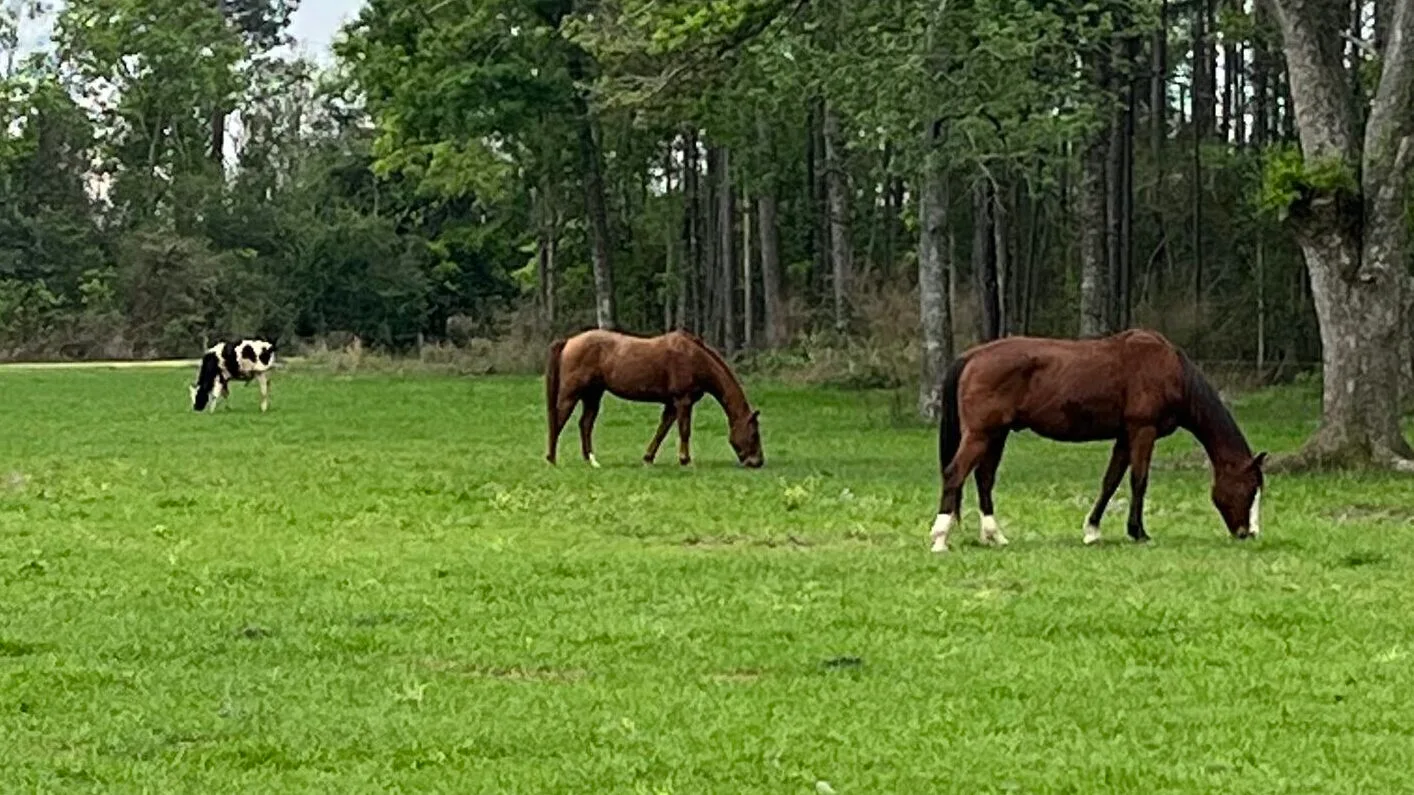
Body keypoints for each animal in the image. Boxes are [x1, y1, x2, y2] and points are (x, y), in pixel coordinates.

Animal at [545, 329, 763, 468]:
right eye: (754, 434)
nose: (758, 462)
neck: (694, 358)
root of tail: (569, 341)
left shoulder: (672, 405)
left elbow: (662, 430)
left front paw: (648, 458)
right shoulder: (683, 401)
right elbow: (684, 431)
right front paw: (685, 460)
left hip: (592, 395)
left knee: (585, 424)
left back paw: (591, 460)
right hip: (571, 394)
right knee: (558, 420)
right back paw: (552, 459)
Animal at [928, 329, 1265, 552]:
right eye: (1250, 489)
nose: (1249, 533)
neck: (1170, 370)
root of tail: (973, 355)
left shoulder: (1125, 436)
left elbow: (1110, 481)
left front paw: (1092, 530)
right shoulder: (1143, 431)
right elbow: (1138, 481)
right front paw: (1138, 532)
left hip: (996, 435)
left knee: (984, 480)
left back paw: (995, 536)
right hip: (980, 435)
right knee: (955, 474)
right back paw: (940, 538)